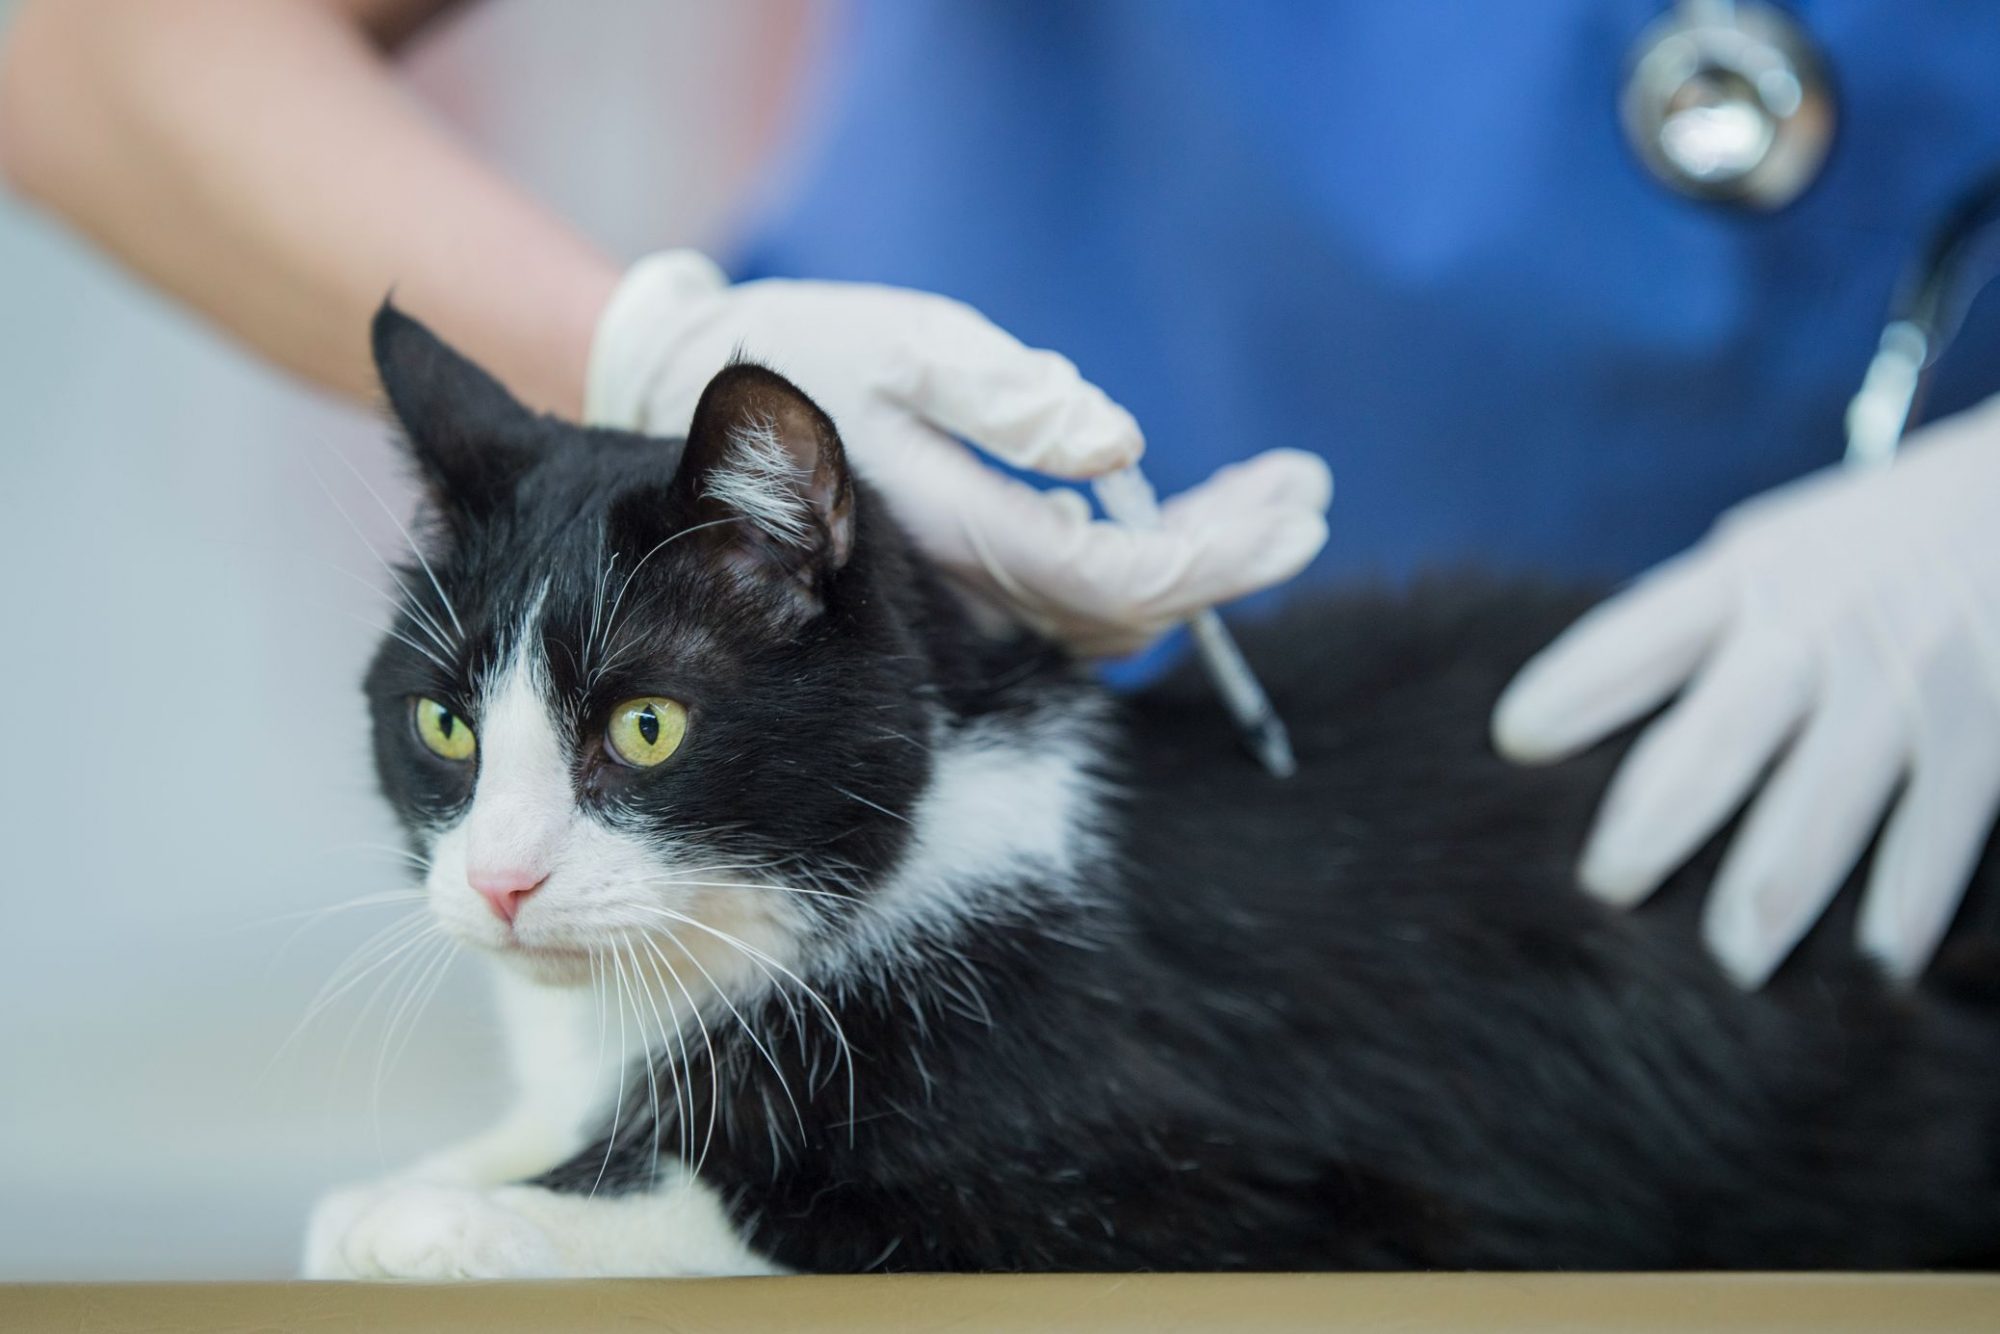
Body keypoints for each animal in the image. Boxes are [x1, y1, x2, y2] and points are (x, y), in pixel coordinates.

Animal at [300, 308, 2000, 1280]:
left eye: (646, 727)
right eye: (445, 725)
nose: (500, 880)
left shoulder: (1297, 1197)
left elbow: (796, 1215)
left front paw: (455, 1216)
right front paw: (449, 1172)